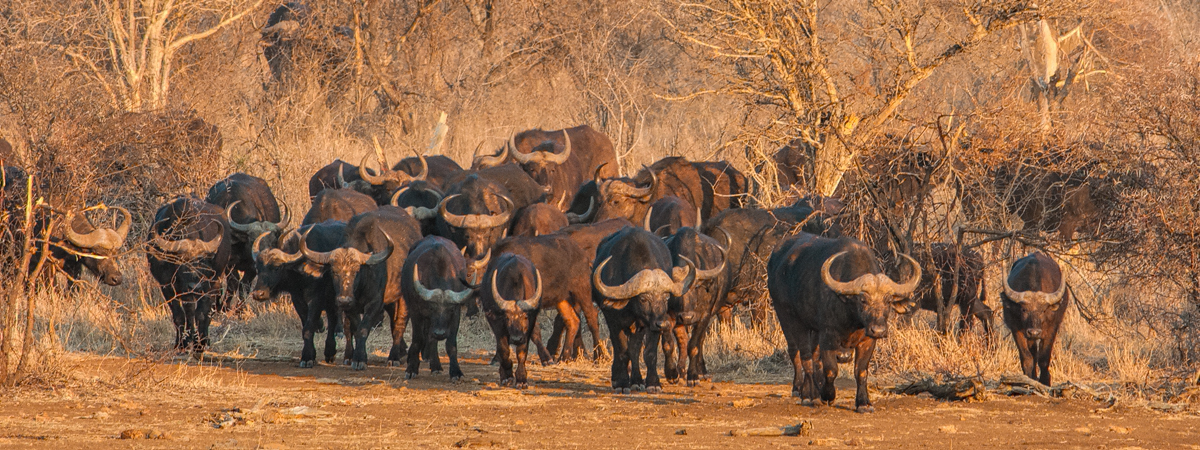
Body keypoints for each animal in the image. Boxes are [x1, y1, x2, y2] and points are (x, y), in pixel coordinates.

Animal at [146, 196, 230, 355]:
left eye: (201, 261)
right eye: (181, 261)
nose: (195, 286)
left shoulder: (208, 286)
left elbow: (202, 314)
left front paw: (200, 344)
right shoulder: (167, 286)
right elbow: (180, 315)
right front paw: (181, 344)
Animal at [300, 207, 422, 369]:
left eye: (357, 270)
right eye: (333, 271)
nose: (344, 300)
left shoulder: (375, 303)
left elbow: (364, 329)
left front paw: (359, 359)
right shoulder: (351, 307)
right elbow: (355, 328)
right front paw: (355, 357)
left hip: (402, 297)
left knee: (399, 325)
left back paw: (394, 357)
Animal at [590, 226, 696, 393]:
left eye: (666, 298)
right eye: (643, 299)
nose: (663, 324)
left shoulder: (651, 325)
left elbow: (648, 353)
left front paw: (653, 383)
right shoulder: (613, 320)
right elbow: (621, 351)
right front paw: (621, 383)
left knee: (635, 348)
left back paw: (637, 380)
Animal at [768, 234, 916, 415]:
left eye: (888, 301)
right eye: (862, 300)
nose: (879, 330)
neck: (852, 318)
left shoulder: (868, 340)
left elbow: (861, 371)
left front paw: (863, 403)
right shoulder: (828, 336)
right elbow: (831, 369)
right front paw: (827, 395)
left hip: (813, 329)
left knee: (813, 357)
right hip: (788, 317)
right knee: (801, 355)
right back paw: (807, 394)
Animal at [1003, 252, 1070, 386]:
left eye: (1043, 310)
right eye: (1024, 310)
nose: (1034, 332)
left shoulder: (1052, 328)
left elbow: (1044, 358)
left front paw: (1045, 381)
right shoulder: (1016, 329)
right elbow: (1027, 357)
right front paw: (1028, 380)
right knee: (1033, 352)